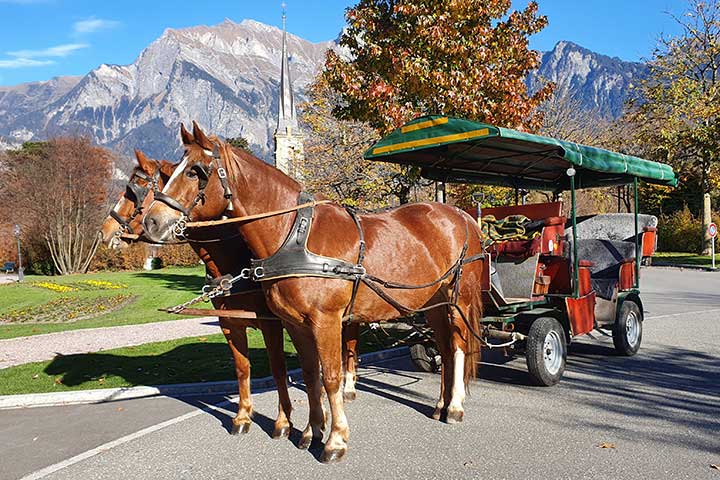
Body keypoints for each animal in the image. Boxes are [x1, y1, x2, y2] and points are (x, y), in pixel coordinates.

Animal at [142, 122, 484, 464]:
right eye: (175, 169)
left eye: (195, 171)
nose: (152, 222)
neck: (294, 235)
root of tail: (464, 217)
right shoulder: (295, 324)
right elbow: (309, 375)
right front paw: (312, 431)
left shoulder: (326, 321)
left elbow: (331, 378)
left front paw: (335, 440)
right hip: (434, 304)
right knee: (443, 347)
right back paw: (440, 405)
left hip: (459, 300)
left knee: (457, 347)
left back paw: (455, 406)